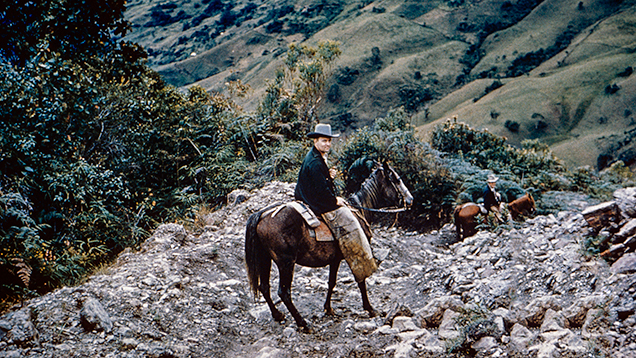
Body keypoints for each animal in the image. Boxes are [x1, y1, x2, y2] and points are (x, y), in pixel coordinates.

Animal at [243, 161, 412, 332]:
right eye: (397, 179)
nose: (410, 199)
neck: (359, 210)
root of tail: (263, 215)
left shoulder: (335, 260)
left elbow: (331, 282)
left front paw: (328, 308)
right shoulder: (356, 253)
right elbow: (360, 280)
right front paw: (369, 308)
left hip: (265, 259)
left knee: (264, 287)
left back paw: (278, 315)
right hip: (286, 263)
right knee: (284, 293)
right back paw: (302, 323)